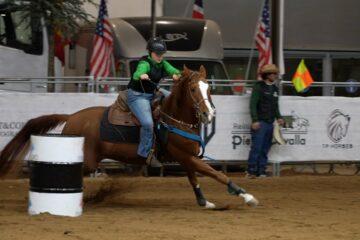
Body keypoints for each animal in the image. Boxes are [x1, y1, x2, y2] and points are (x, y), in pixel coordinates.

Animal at [0, 65, 258, 208]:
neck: (173, 118)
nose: (209, 113)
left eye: (209, 88)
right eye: (194, 89)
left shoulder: (187, 159)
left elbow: (194, 179)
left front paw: (204, 202)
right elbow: (217, 174)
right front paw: (246, 196)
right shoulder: (187, 157)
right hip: (87, 161)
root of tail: (71, 116)